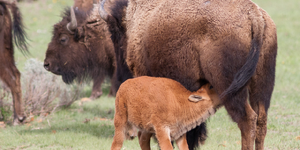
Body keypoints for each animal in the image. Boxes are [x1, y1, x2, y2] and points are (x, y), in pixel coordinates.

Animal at [99, 0, 278, 149]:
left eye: (114, 34)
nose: (119, 75)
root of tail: (254, 15)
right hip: (261, 88)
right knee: (261, 122)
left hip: (230, 88)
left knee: (247, 120)